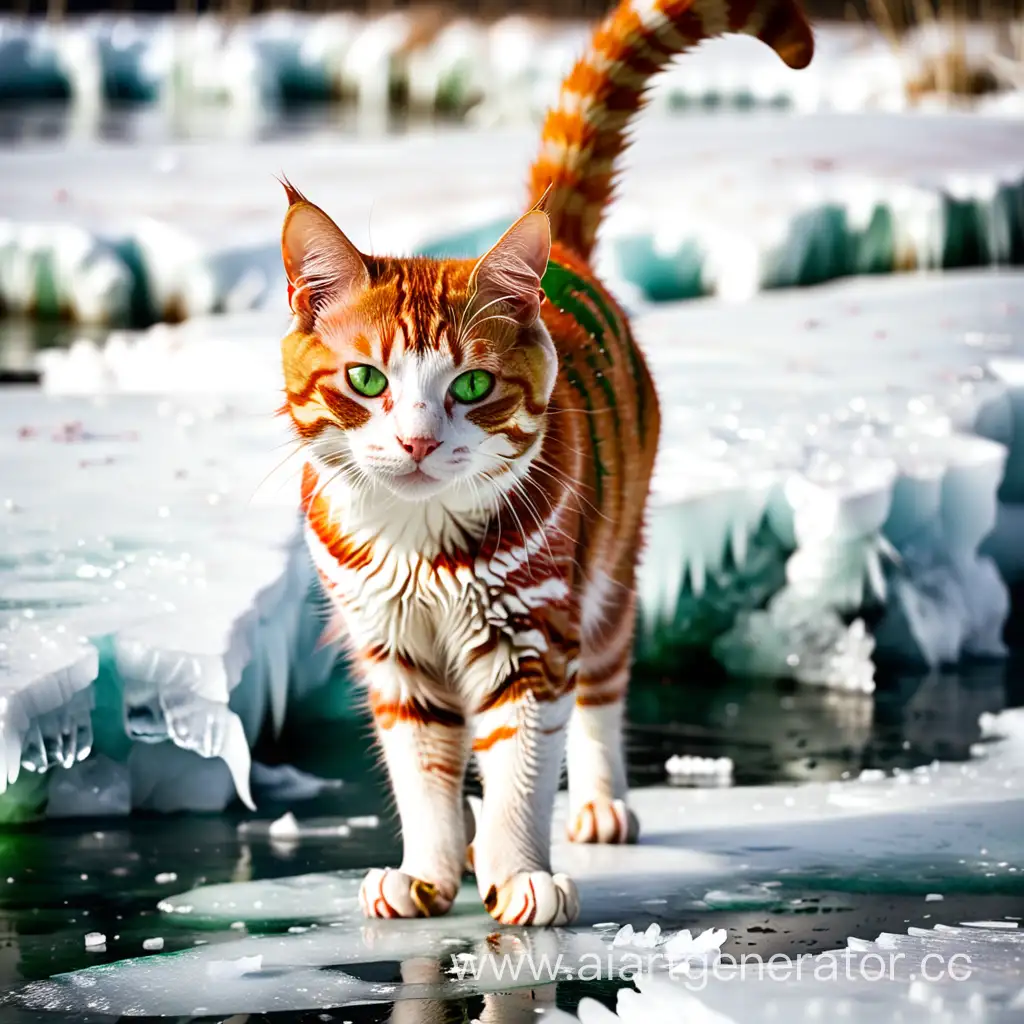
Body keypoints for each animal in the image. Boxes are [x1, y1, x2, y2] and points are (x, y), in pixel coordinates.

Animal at [276, 0, 811, 929]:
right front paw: (427, 871)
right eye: (368, 380)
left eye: (472, 384)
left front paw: (519, 871)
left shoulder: (531, 636)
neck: (419, 541)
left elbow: (523, 764)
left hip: (609, 575)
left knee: (601, 692)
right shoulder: (392, 646)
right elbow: (423, 770)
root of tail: (566, 256)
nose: (417, 441)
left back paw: (598, 803)